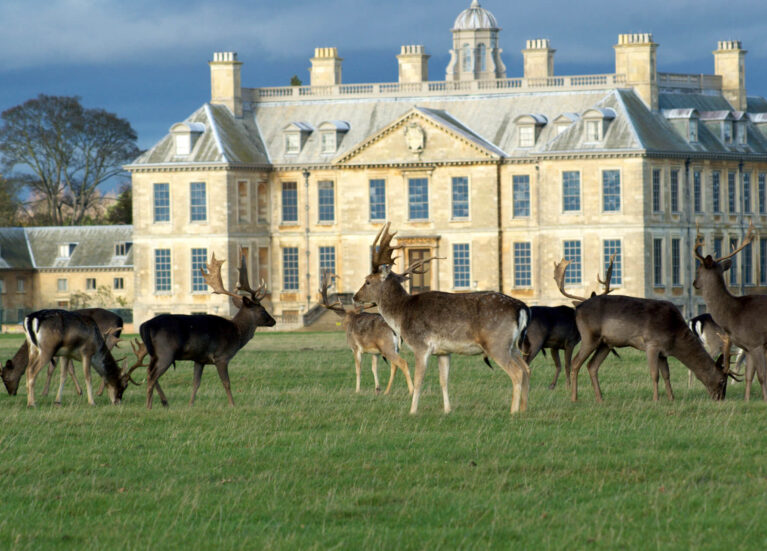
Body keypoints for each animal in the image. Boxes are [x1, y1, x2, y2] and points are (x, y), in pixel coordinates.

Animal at [139, 251, 276, 409]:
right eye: (262, 309)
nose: (273, 321)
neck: (237, 333)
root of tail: (145, 326)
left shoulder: (200, 359)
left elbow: (196, 384)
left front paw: (190, 404)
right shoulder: (221, 357)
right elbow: (226, 383)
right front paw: (232, 404)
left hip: (154, 353)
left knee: (148, 372)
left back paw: (163, 402)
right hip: (165, 352)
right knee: (151, 376)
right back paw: (149, 406)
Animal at [352, 223, 531, 414]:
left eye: (368, 281)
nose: (354, 297)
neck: (401, 315)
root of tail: (521, 307)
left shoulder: (421, 345)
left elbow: (419, 381)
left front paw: (412, 411)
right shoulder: (443, 351)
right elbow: (444, 381)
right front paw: (447, 410)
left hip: (496, 343)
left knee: (517, 372)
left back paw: (513, 412)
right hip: (512, 345)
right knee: (526, 368)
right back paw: (524, 410)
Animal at [555, 256, 733, 402]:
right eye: (722, 380)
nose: (720, 398)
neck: (675, 336)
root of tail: (578, 309)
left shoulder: (663, 352)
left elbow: (667, 375)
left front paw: (672, 398)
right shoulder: (651, 344)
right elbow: (655, 375)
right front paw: (656, 400)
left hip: (606, 344)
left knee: (592, 366)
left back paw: (600, 399)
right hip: (589, 336)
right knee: (575, 362)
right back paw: (574, 398)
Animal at [693, 221, 767, 401]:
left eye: (698, 270)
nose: (694, 283)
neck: (733, 313)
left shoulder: (756, 342)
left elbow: (761, 376)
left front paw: (765, 399)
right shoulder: (746, 346)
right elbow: (748, 376)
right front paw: (747, 401)